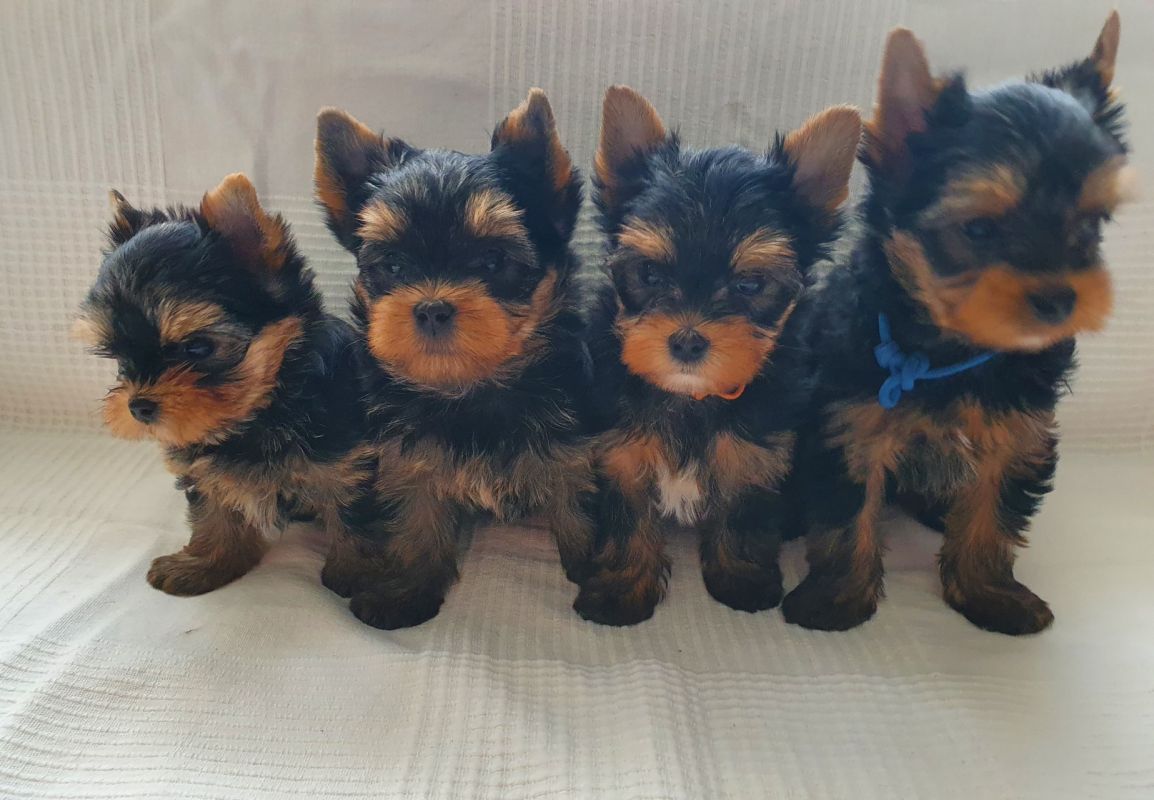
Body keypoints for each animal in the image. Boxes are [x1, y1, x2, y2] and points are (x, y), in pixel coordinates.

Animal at [76, 174, 372, 597]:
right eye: (116, 355)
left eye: (198, 347)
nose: (137, 406)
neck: (263, 408)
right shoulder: (203, 468)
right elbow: (214, 514)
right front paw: (207, 563)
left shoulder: (348, 461)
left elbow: (353, 515)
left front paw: (357, 575)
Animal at [313, 89, 603, 629]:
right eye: (393, 265)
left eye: (492, 262)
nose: (431, 307)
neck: (470, 387)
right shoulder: (407, 456)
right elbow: (416, 518)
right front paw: (407, 590)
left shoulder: (573, 448)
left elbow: (579, 508)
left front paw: (602, 573)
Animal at [575, 86, 862, 626]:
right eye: (649, 274)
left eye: (749, 284)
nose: (688, 340)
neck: (692, 396)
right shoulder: (619, 451)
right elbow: (627, 519)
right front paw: (620, 590)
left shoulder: (754, 452)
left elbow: (742, 515)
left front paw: (742, 580)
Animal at [782, 13, 1131, 635]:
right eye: (979, 230)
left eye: (1090, 224)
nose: (1060, 298)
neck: (952, 350)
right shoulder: (851, 419)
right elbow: (847, 511)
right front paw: (836, 598)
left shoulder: (1019, 431)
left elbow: (994, 509)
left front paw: (989, 593)